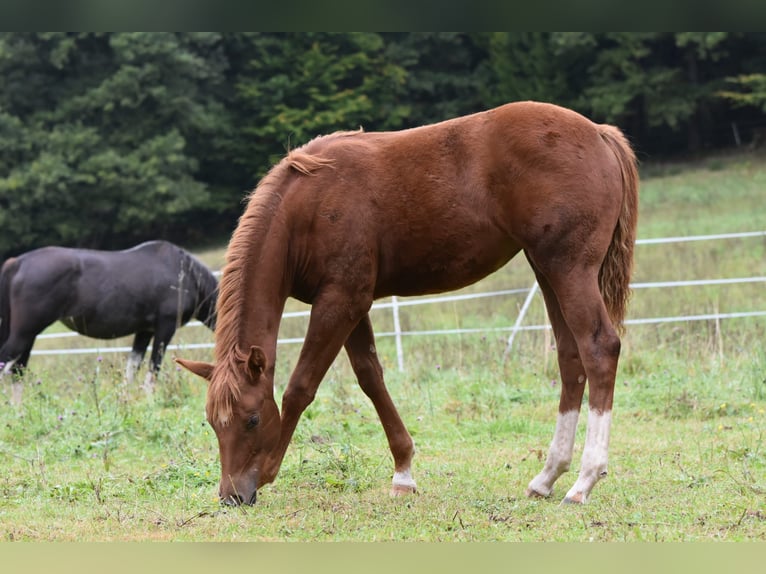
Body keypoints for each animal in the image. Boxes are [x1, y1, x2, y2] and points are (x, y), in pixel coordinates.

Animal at [0, 240, 218, 396]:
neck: (187, 273)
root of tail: (17, 263)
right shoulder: (165, 327)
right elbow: (153, 367)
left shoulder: (145, 331)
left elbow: (132, 368)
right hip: (25, 333)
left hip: (28, 336)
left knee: (17, 371)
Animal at [176, 100, 639, 506]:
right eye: (213, 423)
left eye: (252, 419)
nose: (232, 496)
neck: (306, 208)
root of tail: (599, 133)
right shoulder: (352, 305)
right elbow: (370, 377)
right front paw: (403, 473)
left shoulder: (340, 301)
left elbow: (300, 387)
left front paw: (271, 467)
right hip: (546, 270)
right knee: (570, 358)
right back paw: (546, 477)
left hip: (569, 270)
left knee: (599, 348)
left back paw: (583, 481)